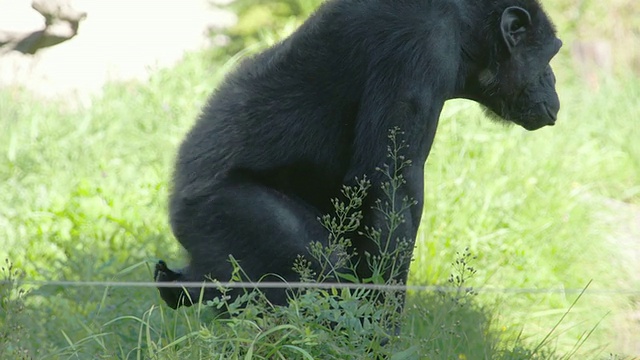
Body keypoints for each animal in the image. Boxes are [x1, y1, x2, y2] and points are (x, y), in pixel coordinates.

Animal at [154, 0, 560, 310]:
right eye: (551, 54)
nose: (553, 79)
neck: (468, 35)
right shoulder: (419, 49)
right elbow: (390, 188)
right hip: (222, 212)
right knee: (318, 264)